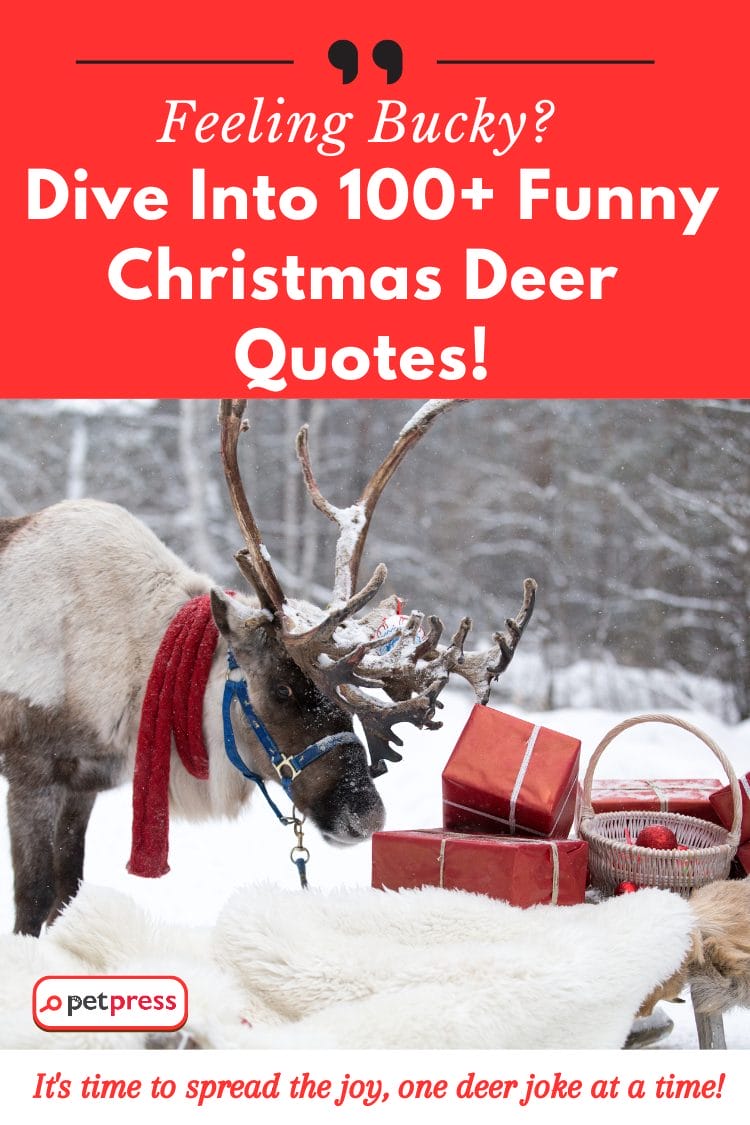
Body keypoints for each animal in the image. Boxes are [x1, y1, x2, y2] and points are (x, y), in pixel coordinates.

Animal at [0, 399, 536, 936]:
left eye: (345, 703)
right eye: (281, 691)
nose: (367, 817)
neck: (131, 666)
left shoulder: (82, 782)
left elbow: (67, 891)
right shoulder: (32, 773)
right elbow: (34, 899)